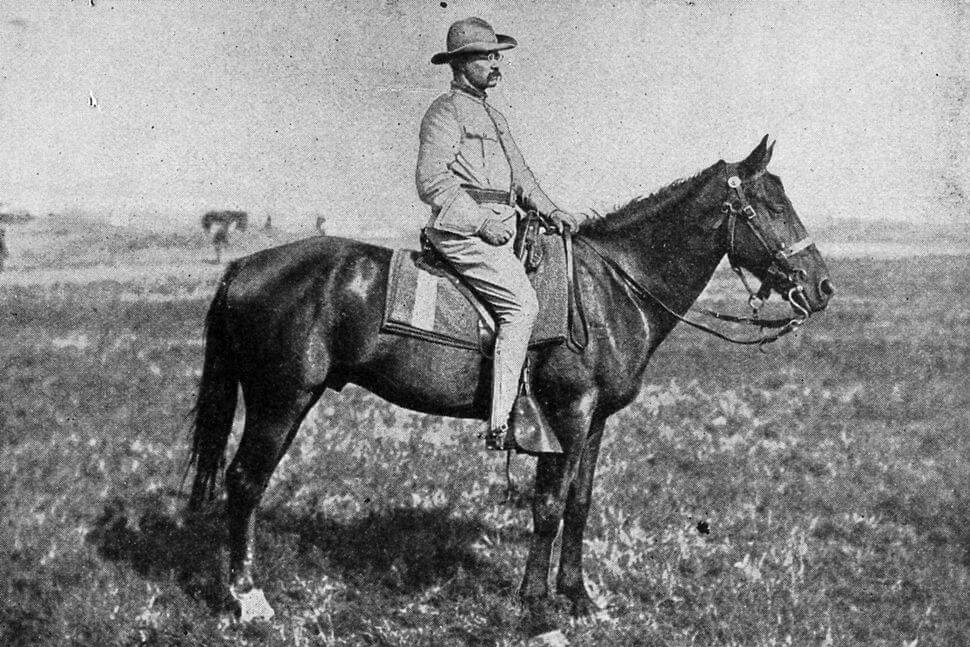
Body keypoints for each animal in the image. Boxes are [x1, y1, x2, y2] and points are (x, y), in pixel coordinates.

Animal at [187, 138, 832, 632]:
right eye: (767, 206)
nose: (821, 286)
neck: (608, 290)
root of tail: (244, 266)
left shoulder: (594, 422)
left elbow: (579, 505)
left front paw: (578, 597)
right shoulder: (565, 413)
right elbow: (547, 506)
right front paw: (537, 608)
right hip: (280, 400)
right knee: (245, 482)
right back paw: (248, 597)